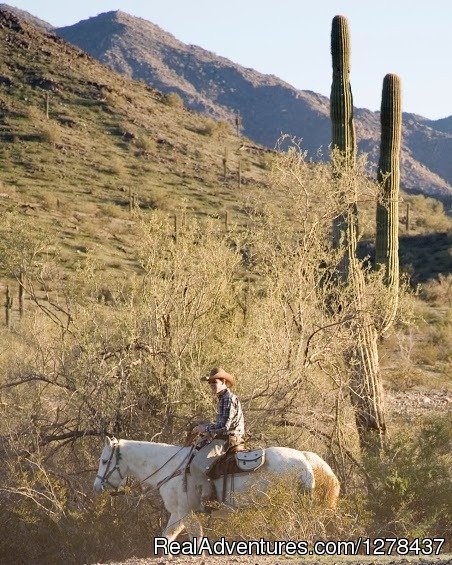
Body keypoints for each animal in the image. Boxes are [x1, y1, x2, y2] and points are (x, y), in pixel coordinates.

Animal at [92, 436, 340, 540]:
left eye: (104, 461)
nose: (96, 487)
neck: (173, 468)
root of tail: (305, 458)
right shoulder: (178, 514)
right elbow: (169, 538)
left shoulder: (186, 512)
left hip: (287, 509)